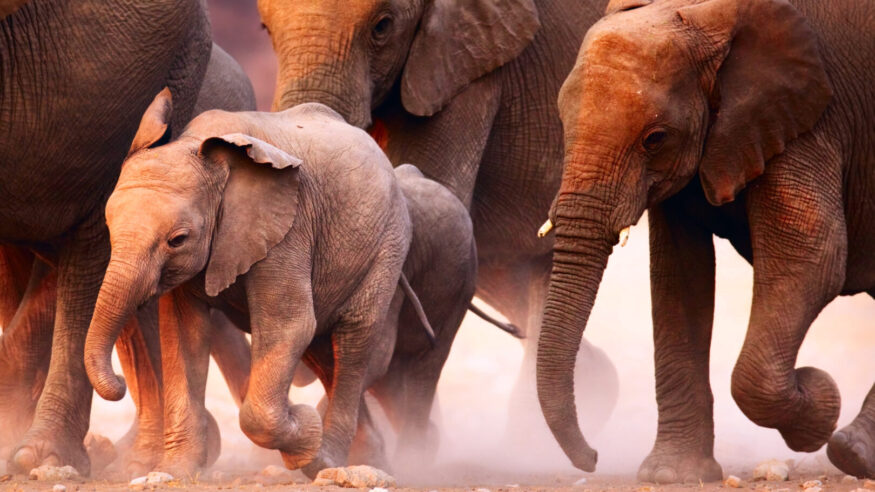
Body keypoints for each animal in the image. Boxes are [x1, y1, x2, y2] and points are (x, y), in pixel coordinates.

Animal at [83, 97, 415, 476]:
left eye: (178, 240)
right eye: (109, 227)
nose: (119, 384)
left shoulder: (288, 229)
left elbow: (288, 327)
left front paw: (305, 429)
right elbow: (183, 333)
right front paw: (176, 472)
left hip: (388, 245)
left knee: (353, 339)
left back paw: (325, 460)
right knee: (322, 349)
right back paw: (364, 459)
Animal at [536, 0, 875, 482]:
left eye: (655, 139)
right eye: (562, 121)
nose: (594, 458)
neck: (707, 15)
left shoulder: (811, 118)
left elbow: (813, 258)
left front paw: (818, 401)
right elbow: (679, 277)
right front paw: (671, 476)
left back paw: (850, 452)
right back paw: (855, 452)